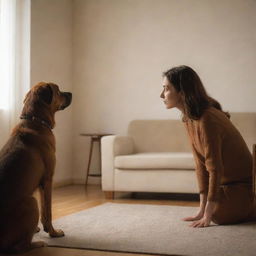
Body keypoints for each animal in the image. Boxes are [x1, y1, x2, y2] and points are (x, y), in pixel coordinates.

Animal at [0, 82, 71, 254]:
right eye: (58, 90)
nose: (71, 93)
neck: (36, 121)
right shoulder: (47, 180)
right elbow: (47, 212)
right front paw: (53, 232)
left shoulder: (40, 184)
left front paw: (37, 229)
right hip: (31, 202)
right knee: (19, 247)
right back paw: (37, 243)